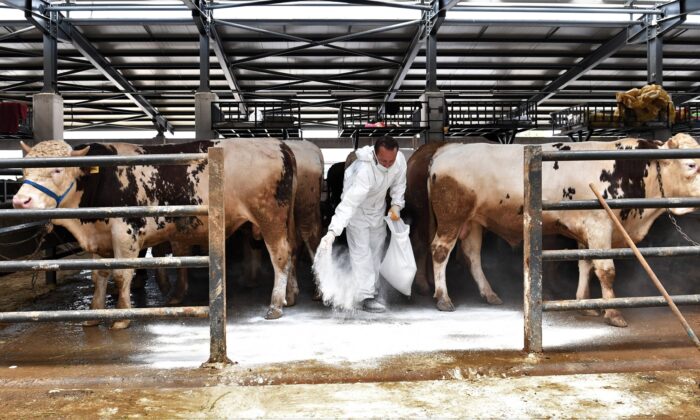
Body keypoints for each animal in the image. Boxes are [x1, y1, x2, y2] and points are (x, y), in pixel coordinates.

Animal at [13, 139, 296, 326]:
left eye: (58, 168)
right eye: (24, 170)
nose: (20, 201)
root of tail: (278, 145)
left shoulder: (126, 232)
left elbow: (122, 275)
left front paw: (122, 317)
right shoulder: (100, 238)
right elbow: (99, 276)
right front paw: (94, 314)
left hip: (269, 217)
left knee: (281, 256)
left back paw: (275, 305)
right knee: (291, 252)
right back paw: (290, 296)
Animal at [422, 135, 700, 328]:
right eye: (690, 164)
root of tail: (448, 148)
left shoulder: (587, 232)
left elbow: (586, 265)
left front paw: (585, 304)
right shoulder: (599, 226)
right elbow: (606, 271)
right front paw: (613, 313)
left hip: (474, 222)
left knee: (472, 255)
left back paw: (489, 293)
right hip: (451, 217)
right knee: (440, 251)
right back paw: (443, 298)